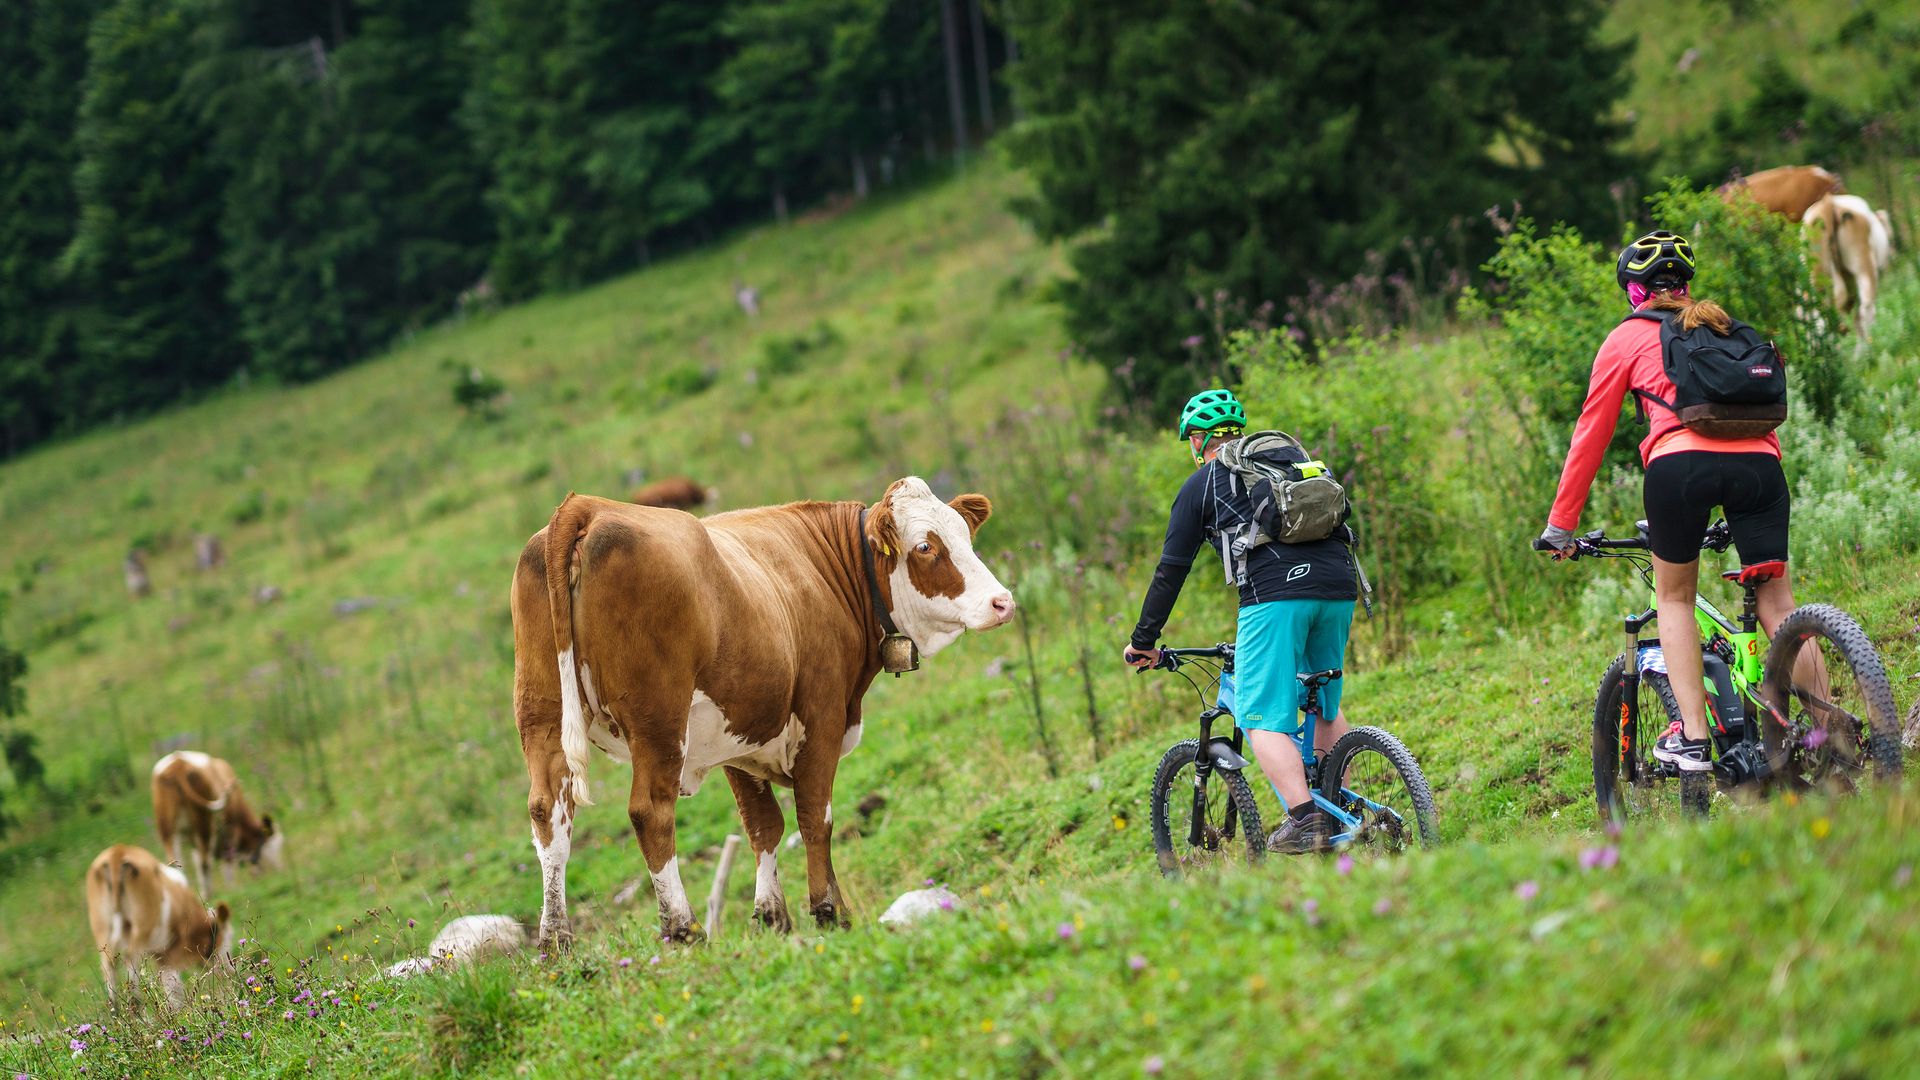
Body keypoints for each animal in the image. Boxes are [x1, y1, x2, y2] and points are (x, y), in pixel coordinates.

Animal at [85, 844, 233, 1010]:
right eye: (227, 937)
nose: (230, 971)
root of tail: (118, 851)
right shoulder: (172, 951)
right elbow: (173, 986)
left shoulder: (160, 954)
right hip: (141, 929)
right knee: (131, 966)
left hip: (102, 930)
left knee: (109, 969)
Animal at [151, 751, 283, 895]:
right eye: (273, 845)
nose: (280, 870)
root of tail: (178, 763)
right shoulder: (231, 829)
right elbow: (228, 863)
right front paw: (233, 890)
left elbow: (196, 860)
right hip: (204, 823)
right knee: (205, 862)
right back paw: (208, 894)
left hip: (167, 828)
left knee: (176, 862)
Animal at [511, 477, 1015, 947]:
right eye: (926, 546)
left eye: (965, 535)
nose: (1003, 602)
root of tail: (587, 507)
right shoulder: (821, 715)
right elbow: (815, 817)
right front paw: (830, 912)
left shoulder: (738, 736)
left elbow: (764, 825)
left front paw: (774, 917)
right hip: (658, 720)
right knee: (650, 812)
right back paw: (684, 929)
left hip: (542, 714)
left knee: (548, 813)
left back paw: (556, 942)